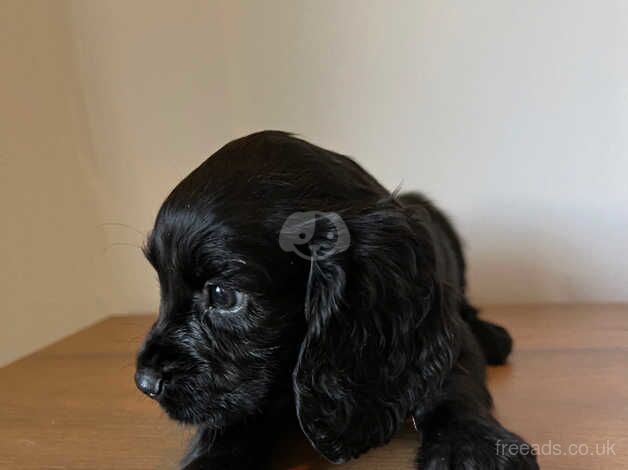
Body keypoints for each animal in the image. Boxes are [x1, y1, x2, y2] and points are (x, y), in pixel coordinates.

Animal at [135, 130, 536, 468]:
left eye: (222, 294)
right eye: (161, 284)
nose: (145, 383)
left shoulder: (438, 333)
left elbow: (455, 382)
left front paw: (471, 445)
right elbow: (237, 415)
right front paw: (213, 457)